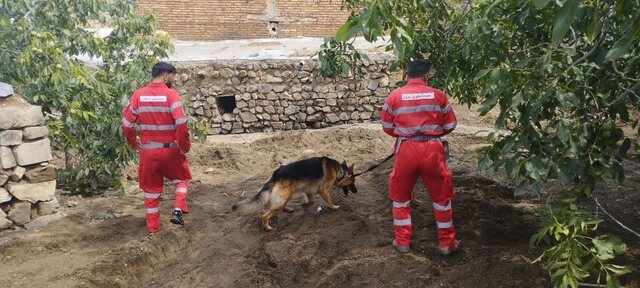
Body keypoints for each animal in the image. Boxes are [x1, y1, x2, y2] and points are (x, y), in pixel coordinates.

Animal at [231, 156, 360, 231]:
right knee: (266, 215)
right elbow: (328, 201)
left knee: (280, 207)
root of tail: (276, 174)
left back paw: (289, 210)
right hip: (284, 197)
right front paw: (334, 207)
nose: (356, 191)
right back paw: (267, 227)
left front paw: (304, 205)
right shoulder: (323, 190)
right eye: (352, 182)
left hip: (287, 195)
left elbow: (311, 201)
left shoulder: (309, 190)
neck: (339, 170)